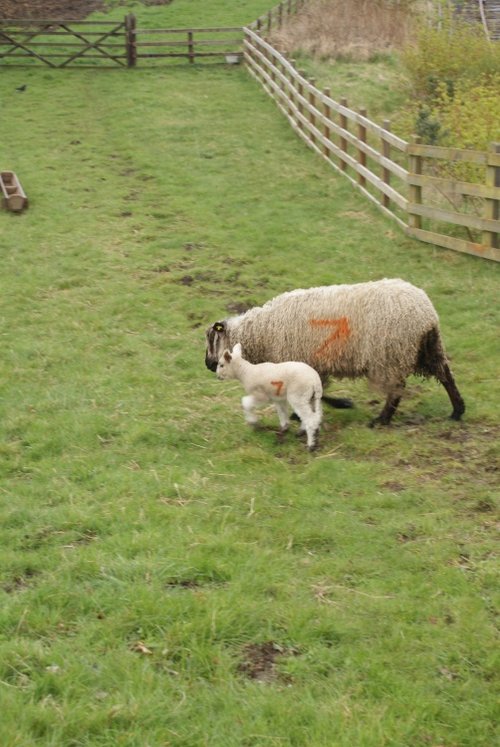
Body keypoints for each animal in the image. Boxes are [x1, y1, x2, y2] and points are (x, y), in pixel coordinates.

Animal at [206, 278, 464, 426]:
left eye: (210, 339)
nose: (207, 365)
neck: (263, 331)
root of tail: (426, 313)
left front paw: (340, 404)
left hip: (390, 353)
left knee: (397, 388)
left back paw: (382, 420)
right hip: (428, 348)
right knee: (446, 376)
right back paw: (457, 411)